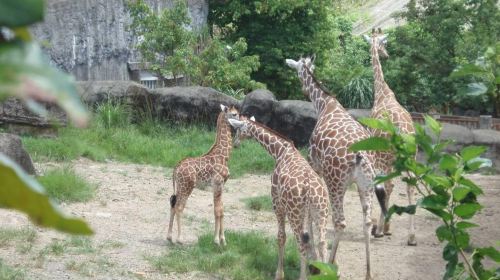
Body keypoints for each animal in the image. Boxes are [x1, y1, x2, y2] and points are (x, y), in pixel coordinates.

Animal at [167, 104, 239, 245]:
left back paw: (169, 238)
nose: (243, 122)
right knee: (179, 207)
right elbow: (217, 211)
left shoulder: (221, 186)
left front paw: (223, 240)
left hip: (180, 186)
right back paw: (180, 239)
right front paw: (216, 240)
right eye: (234, 114)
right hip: (187, 186)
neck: (224, 156)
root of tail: (176, 168)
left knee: (173, 204)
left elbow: (222, 209)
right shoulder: (217, 183)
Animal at [229, 115, 330, 280]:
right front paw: (315, 268)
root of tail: (309, 190)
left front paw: (279, 274)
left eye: (238, 129)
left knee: (301, 244)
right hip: (321, 212)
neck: (279, 151)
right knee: (322, 243)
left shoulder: (276, 202)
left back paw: (302, 277)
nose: (235, 143)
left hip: (295, 214)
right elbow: (312, 241)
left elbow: (281, 237)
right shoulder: (309, 214)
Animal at [286, 55, 386, 278]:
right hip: (365, 185)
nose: (303, 89)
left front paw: (314, 260)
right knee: (367, 221)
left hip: (336, 183)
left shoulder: (314, 165)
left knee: (340, 221)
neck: (324, 104)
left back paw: (330, 266)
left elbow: (312, 216)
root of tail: (360, 156)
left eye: (296, 70)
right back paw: (368, 273)